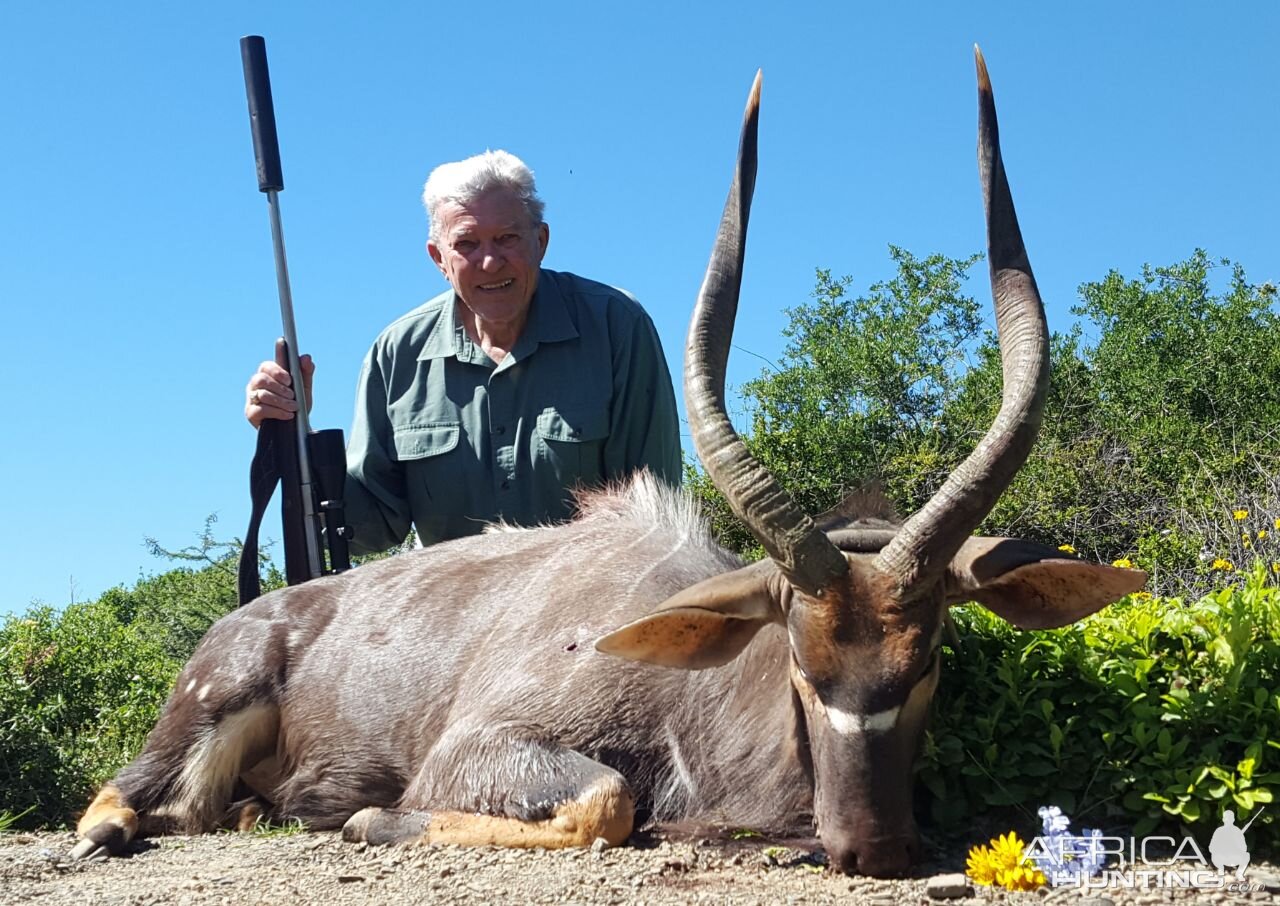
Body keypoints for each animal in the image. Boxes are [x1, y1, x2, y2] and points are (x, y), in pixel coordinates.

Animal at [74, 51, 1146, 875]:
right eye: (801, 666)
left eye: (927, 662)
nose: (870, 849)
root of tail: (261, 614)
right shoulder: (479, 750)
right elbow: (606, 805)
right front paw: (370, 819)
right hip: (201, 715)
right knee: (121, 800)